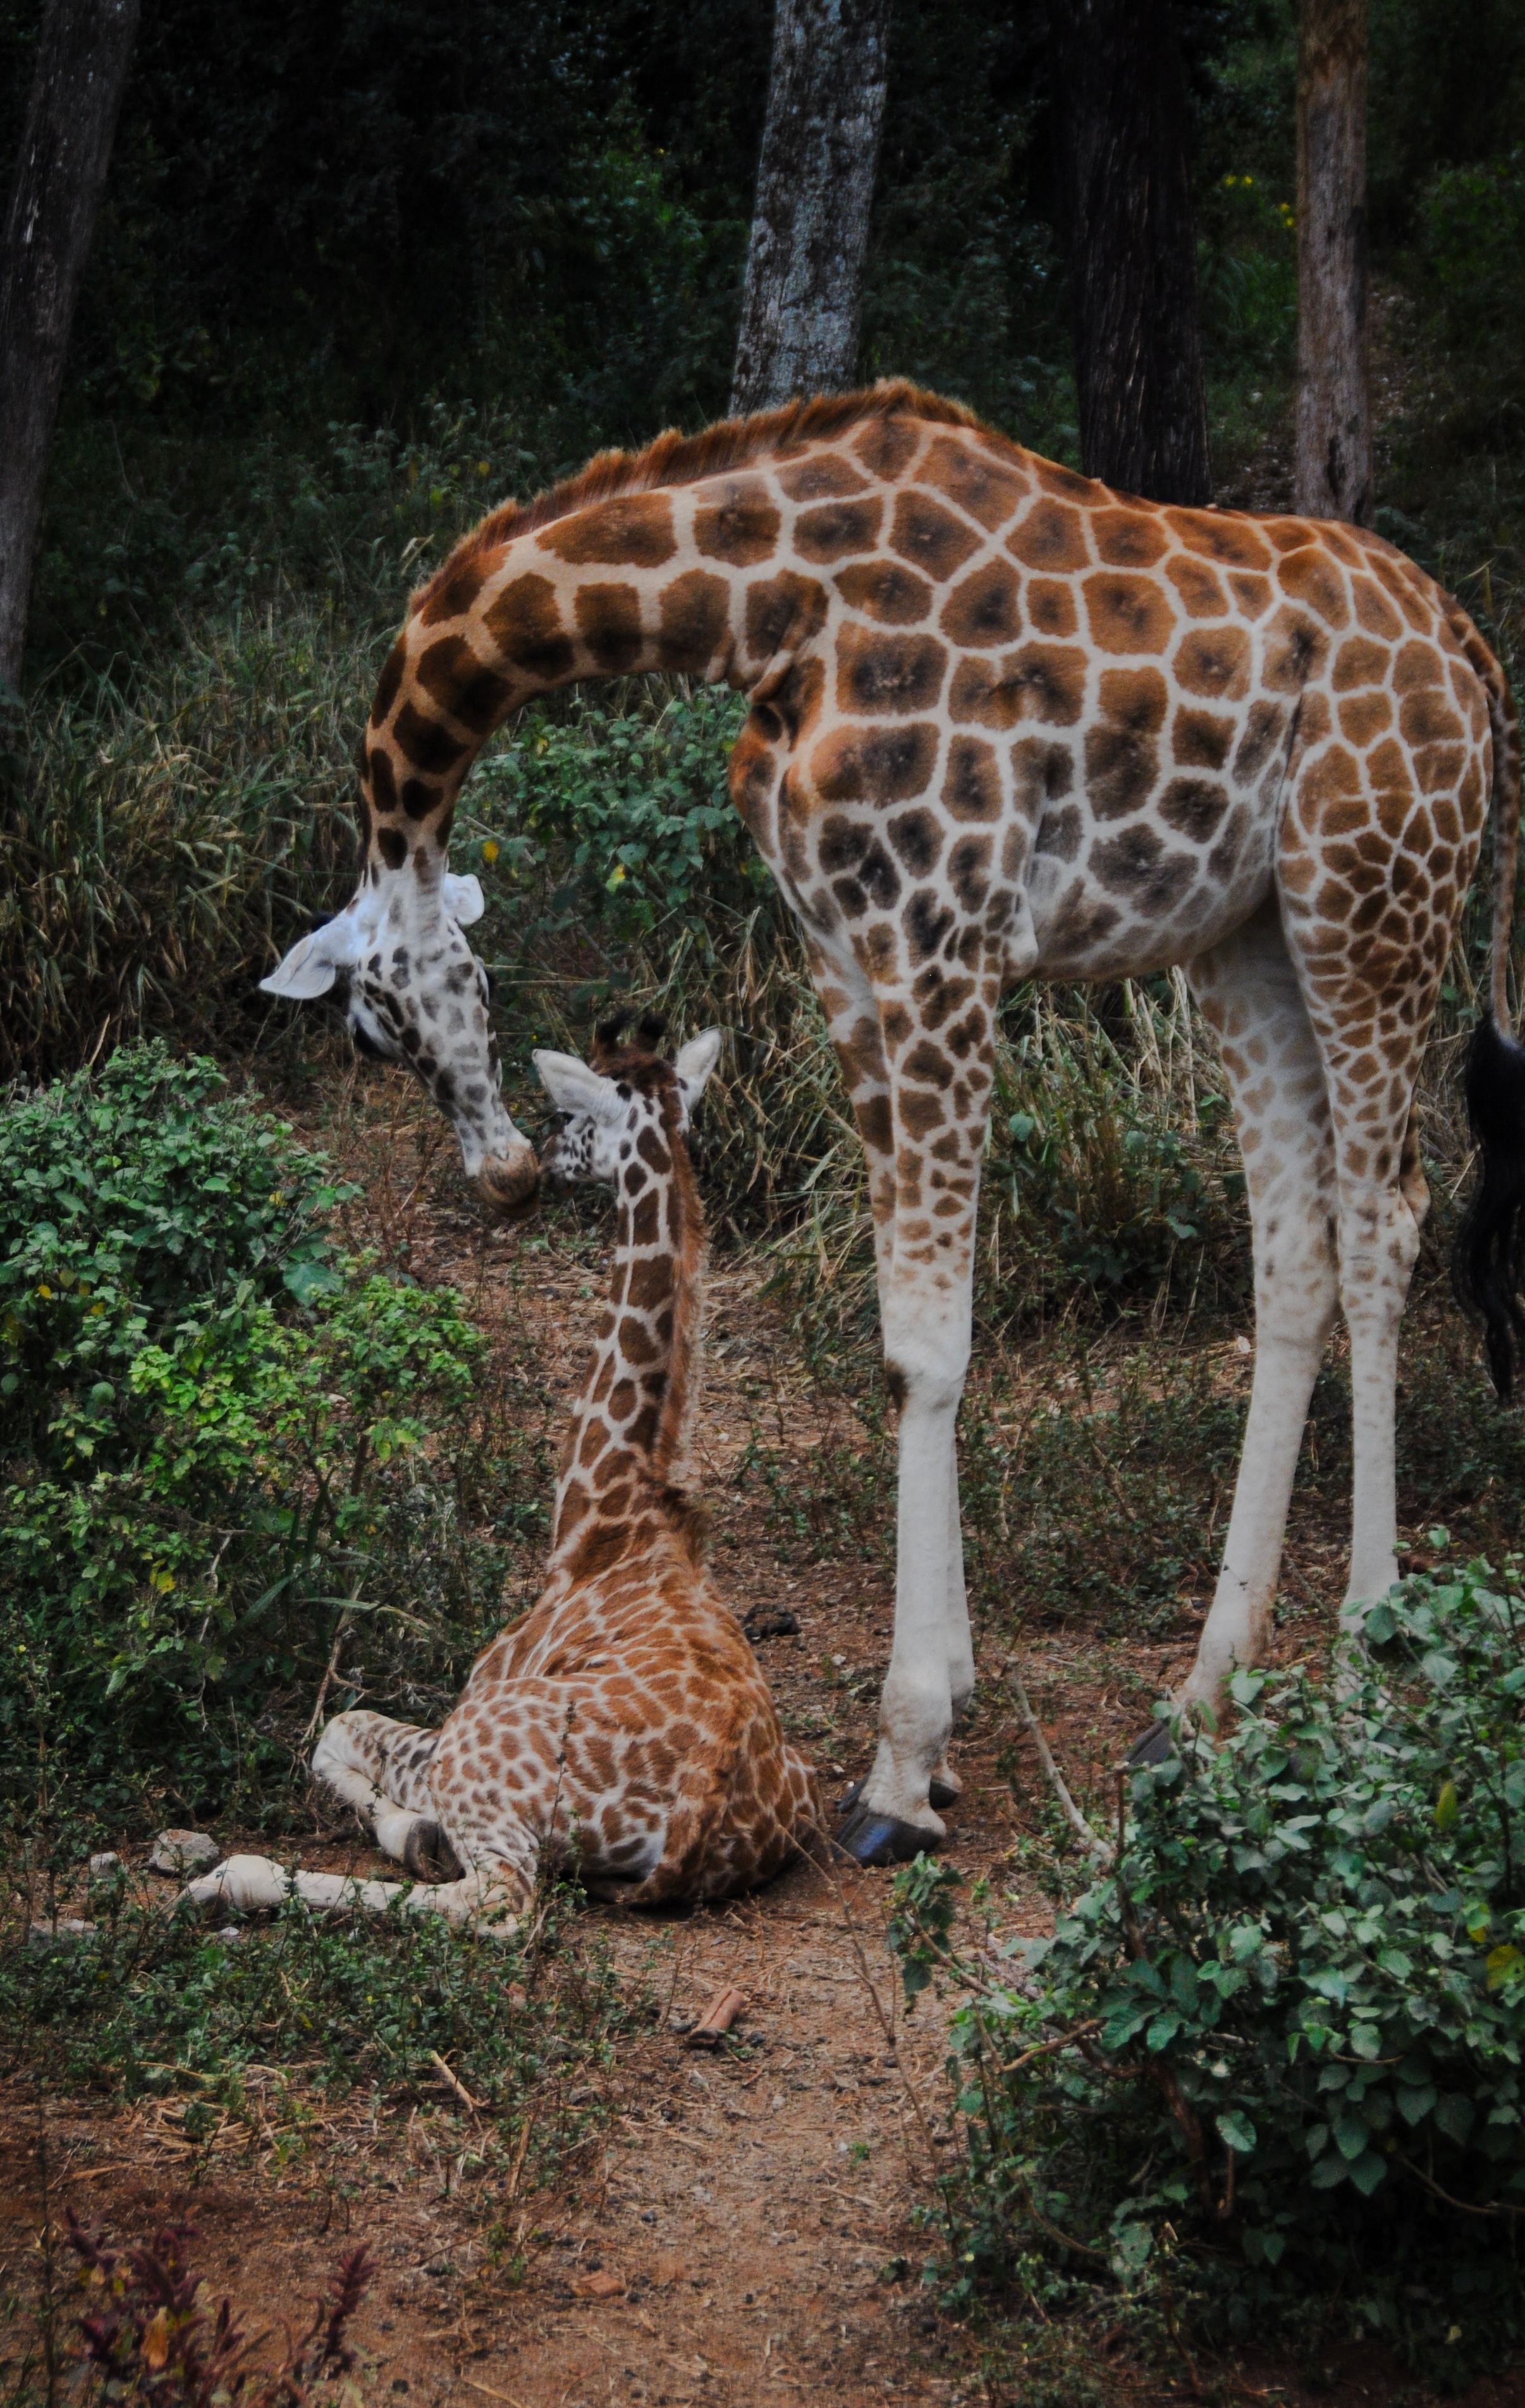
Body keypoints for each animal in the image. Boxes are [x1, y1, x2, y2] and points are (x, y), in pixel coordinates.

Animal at [187, 1015, 823, 1930]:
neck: (603, 1516)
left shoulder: (464, 1704)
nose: (545, 1155)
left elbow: (337, 1724)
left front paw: (409, 1829)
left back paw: (233, 1877)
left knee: (500, 1902)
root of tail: (704, 1808)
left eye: (572, 1115)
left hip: (481, 1757)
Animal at [261, 379, 1525, 1866]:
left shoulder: (940, 939)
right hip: (1247, 932)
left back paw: (1363, 1659)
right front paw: (955, 1709)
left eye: (370, 1028)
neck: (764, 601)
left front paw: (902, 1763)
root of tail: (1470, 652)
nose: (504, 1173)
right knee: (1298, 1249)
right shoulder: (844, 957)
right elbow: (891, 1337)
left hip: (1370, 899)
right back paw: (1200, 1698)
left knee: (1386, 1224)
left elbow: (930, 1343)